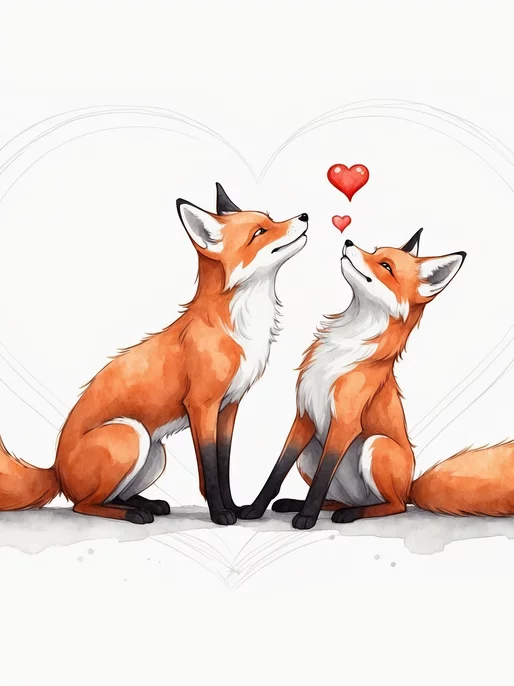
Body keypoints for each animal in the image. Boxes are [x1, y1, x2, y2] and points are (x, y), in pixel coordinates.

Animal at [0, 183, 309, 525]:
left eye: (271, 218)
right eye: (259, 232)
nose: (305, 215)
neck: (238, 327)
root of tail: (56, 471)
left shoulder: (229, 406)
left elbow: (223, 465)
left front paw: (235, 508)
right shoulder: (201, 404)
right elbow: (210, 470)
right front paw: (220, 514)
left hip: (155, 453)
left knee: (113, 496)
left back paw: (147, 504)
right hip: (130, 434)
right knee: (84, 505)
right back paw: (134, 514)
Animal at [239, 228, 511, 529]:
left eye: (386, 266)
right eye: (374, 250)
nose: (348, 241)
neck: (343, 348)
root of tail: (410, 486)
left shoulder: (345, 423)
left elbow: (321, 479)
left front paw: (307, 518)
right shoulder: (304, 416)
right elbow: (277, 471)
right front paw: (255, 509)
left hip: (376, 445)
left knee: (395, 506)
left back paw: (350, 514)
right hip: (310, 454)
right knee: (339, 499)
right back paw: (296, 504)